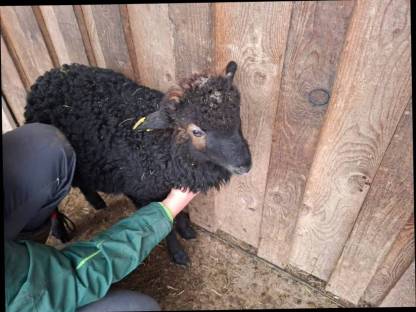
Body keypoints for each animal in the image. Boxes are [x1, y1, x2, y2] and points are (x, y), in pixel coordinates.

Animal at [26, 61, 254, 266]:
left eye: (238, 115)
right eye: (196, 131)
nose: (245, 164)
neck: (160, 143)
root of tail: (49, 76)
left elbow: (178, 211)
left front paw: (186, 230)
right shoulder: (142, 194)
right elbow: (166, 225)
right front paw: (178, 254)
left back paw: (97, 203)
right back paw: (60, 230)